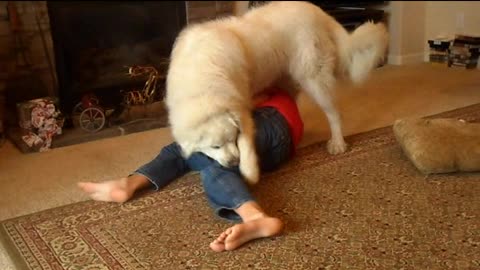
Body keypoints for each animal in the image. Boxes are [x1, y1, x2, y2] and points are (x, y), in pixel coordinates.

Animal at [164, 0, 386, 185]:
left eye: (231, 140)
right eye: (215, 147)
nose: (233, 161)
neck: (201, 90)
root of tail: (318, 11)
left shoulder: (240, 110)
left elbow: (246, 143)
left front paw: (250, 172)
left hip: (313, 79)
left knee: (334, 114)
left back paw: (338, 144)